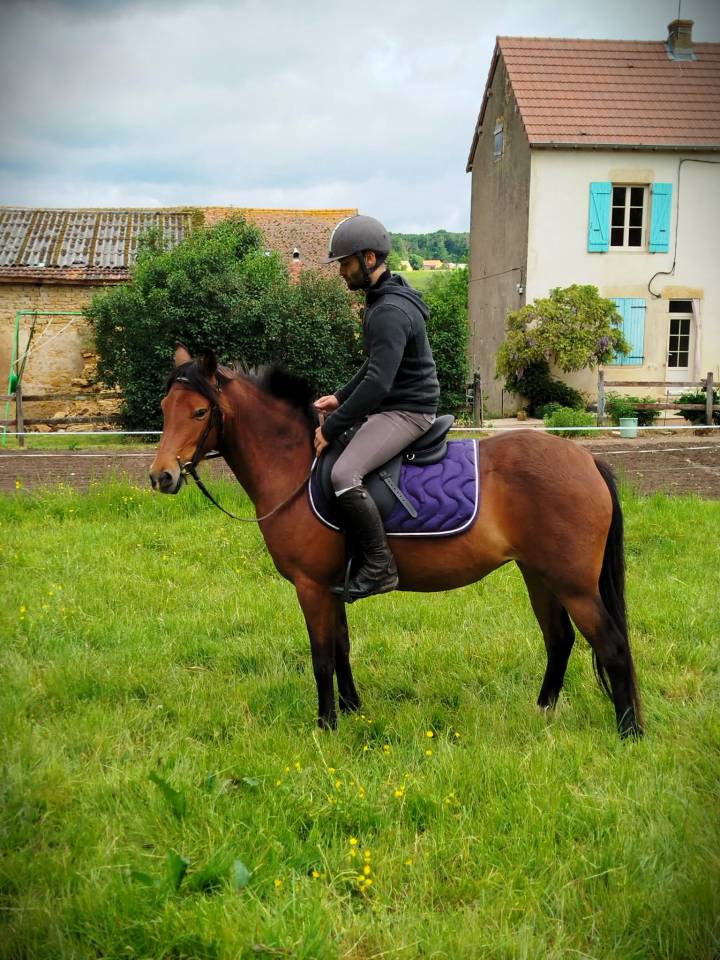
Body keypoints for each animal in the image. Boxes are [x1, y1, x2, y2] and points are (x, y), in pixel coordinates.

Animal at [149, 346, 642, 739]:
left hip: (573, 585)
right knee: (559, 640)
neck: (297, 469)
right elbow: (342, 647)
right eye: (164, 407)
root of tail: (586, 459)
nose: (161, 476)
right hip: (539, 575)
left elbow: (321, 656)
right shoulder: (334, 587)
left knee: (612, 646)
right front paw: (352, 710)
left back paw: (630, 733)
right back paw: (542, 713)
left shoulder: (311, 587)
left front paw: (326, 725)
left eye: (199, 412)